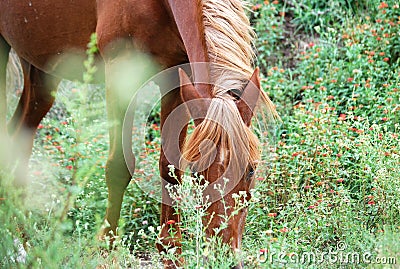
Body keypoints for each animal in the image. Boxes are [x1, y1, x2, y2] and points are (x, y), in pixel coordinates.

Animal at [0, 1, 276, 266]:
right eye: (197, 174)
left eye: (251, 169)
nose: (225, 255)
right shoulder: (119, 70)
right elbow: (118, 166)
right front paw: (107, 248)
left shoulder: (174, 79)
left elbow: (169, 166)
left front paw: (170, 250)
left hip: (40, 71)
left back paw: (25, 241)